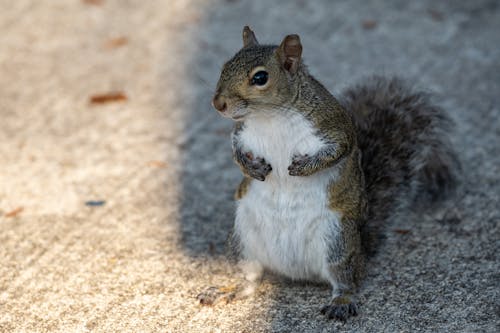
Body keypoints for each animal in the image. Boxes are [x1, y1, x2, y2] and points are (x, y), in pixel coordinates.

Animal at [200, 27, 460, 320]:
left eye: (260, 78)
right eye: (225, 66)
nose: (218, 103)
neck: (270, 117)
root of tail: (297, 272)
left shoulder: (334, 127)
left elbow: (338, 151)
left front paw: (304, 167)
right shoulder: (243, 132)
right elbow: (235, 150)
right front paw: (251, 167)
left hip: (338, 242)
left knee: (346, 279)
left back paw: (341, 301)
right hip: (243, 240)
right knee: (249, 277)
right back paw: (228, 290)